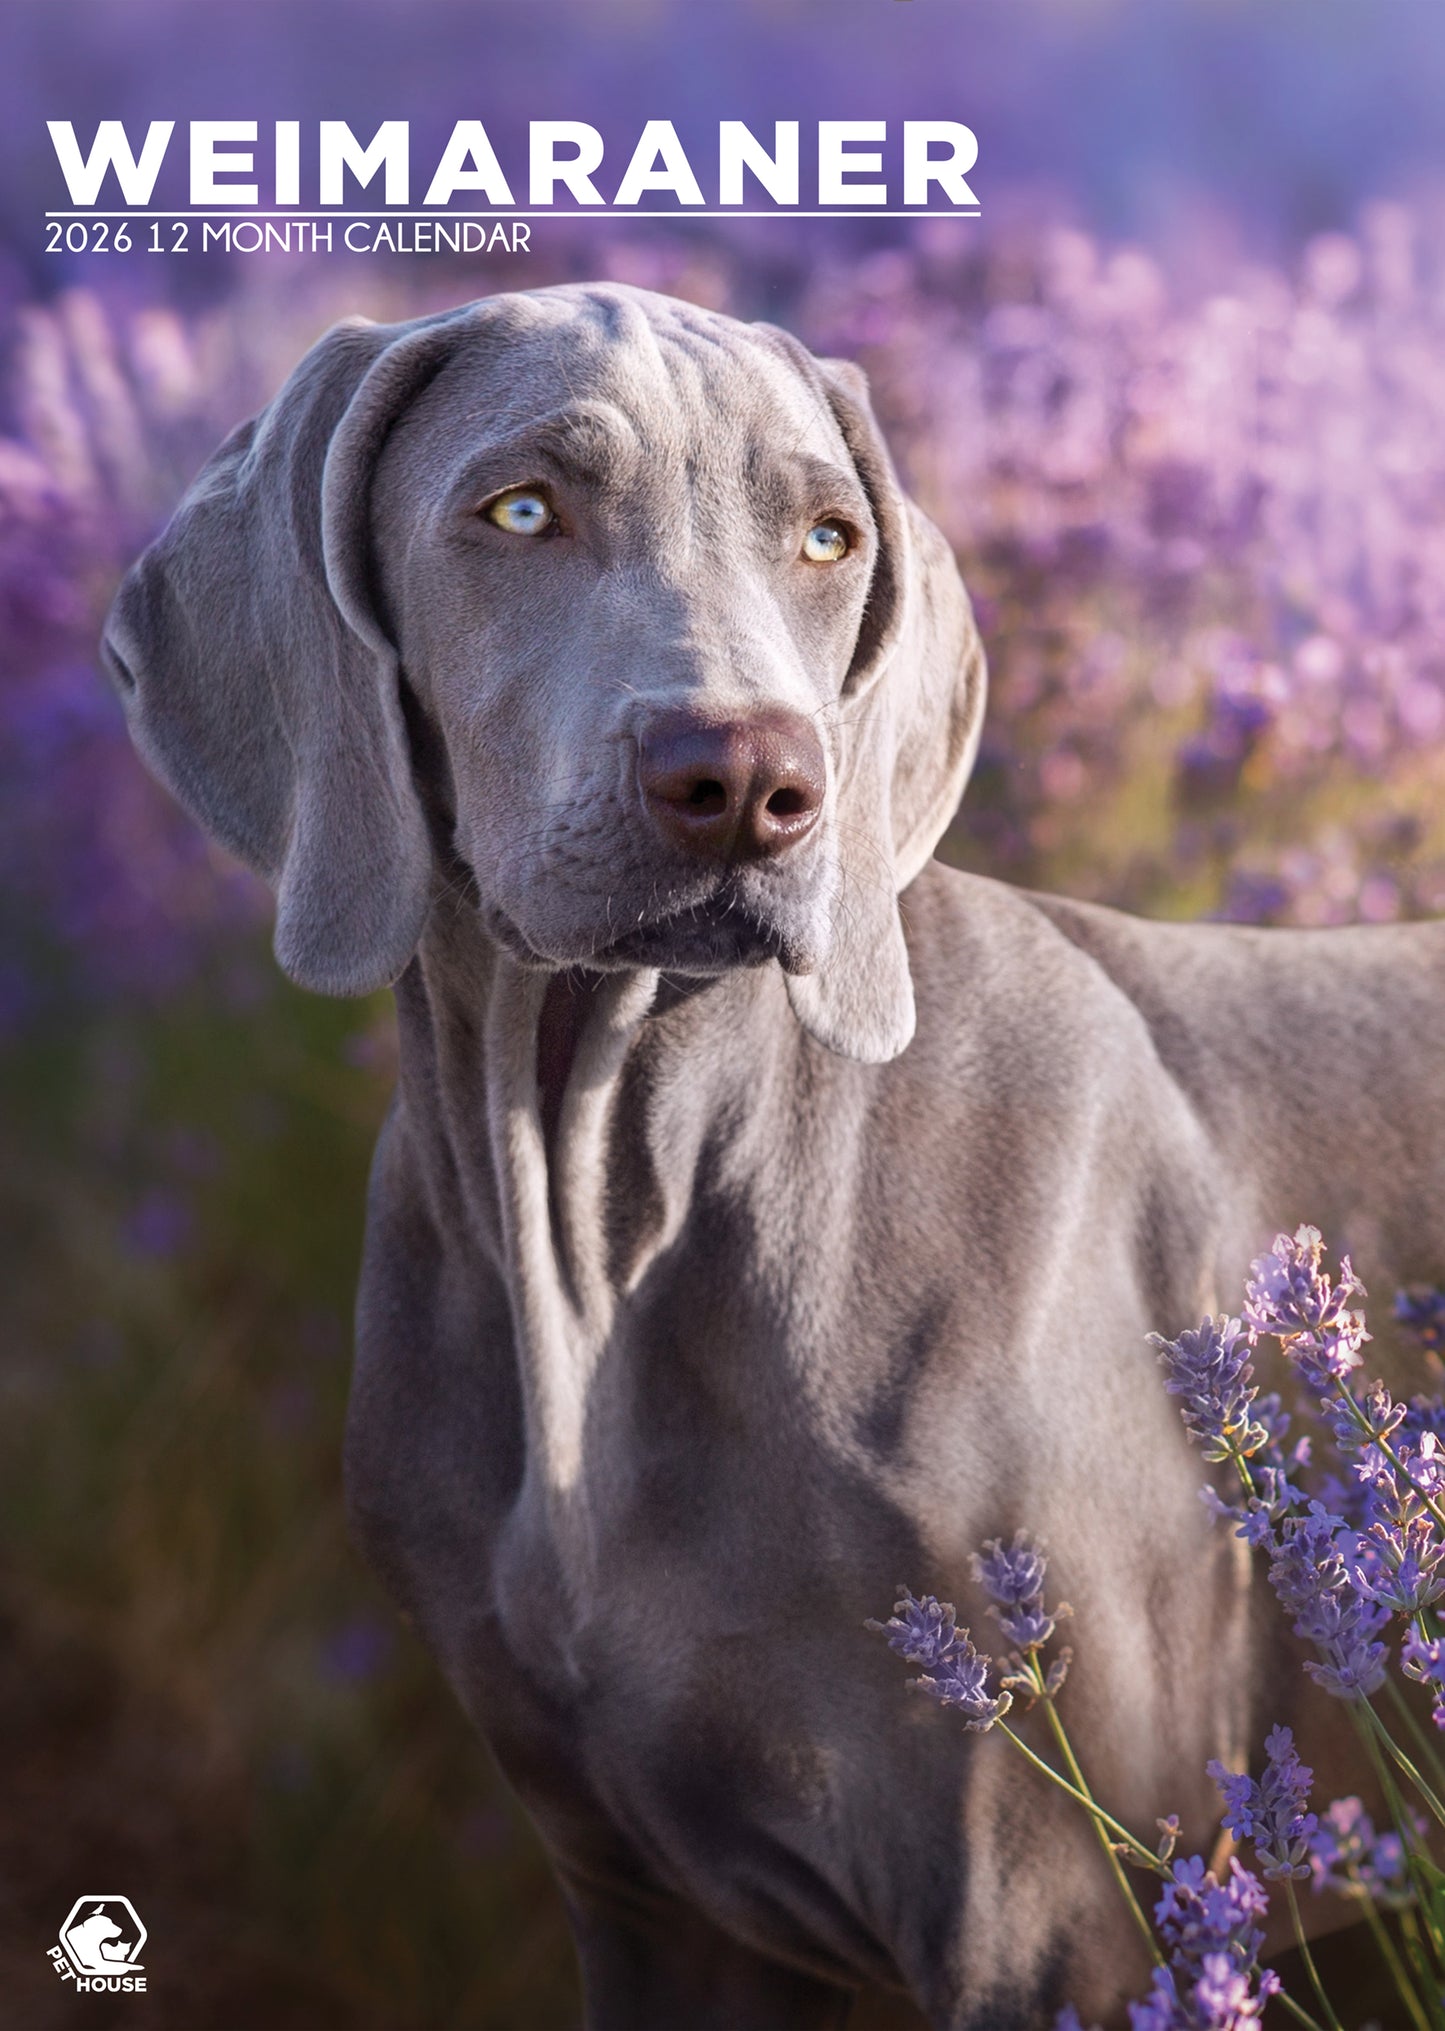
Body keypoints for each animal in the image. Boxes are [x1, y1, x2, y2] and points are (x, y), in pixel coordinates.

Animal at [101, 286, 1445, 2030]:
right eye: (519, 509)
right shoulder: (652, 1906)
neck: (601, 1202)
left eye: (826, 537)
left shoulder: (1063, 1919)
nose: (747, 779)